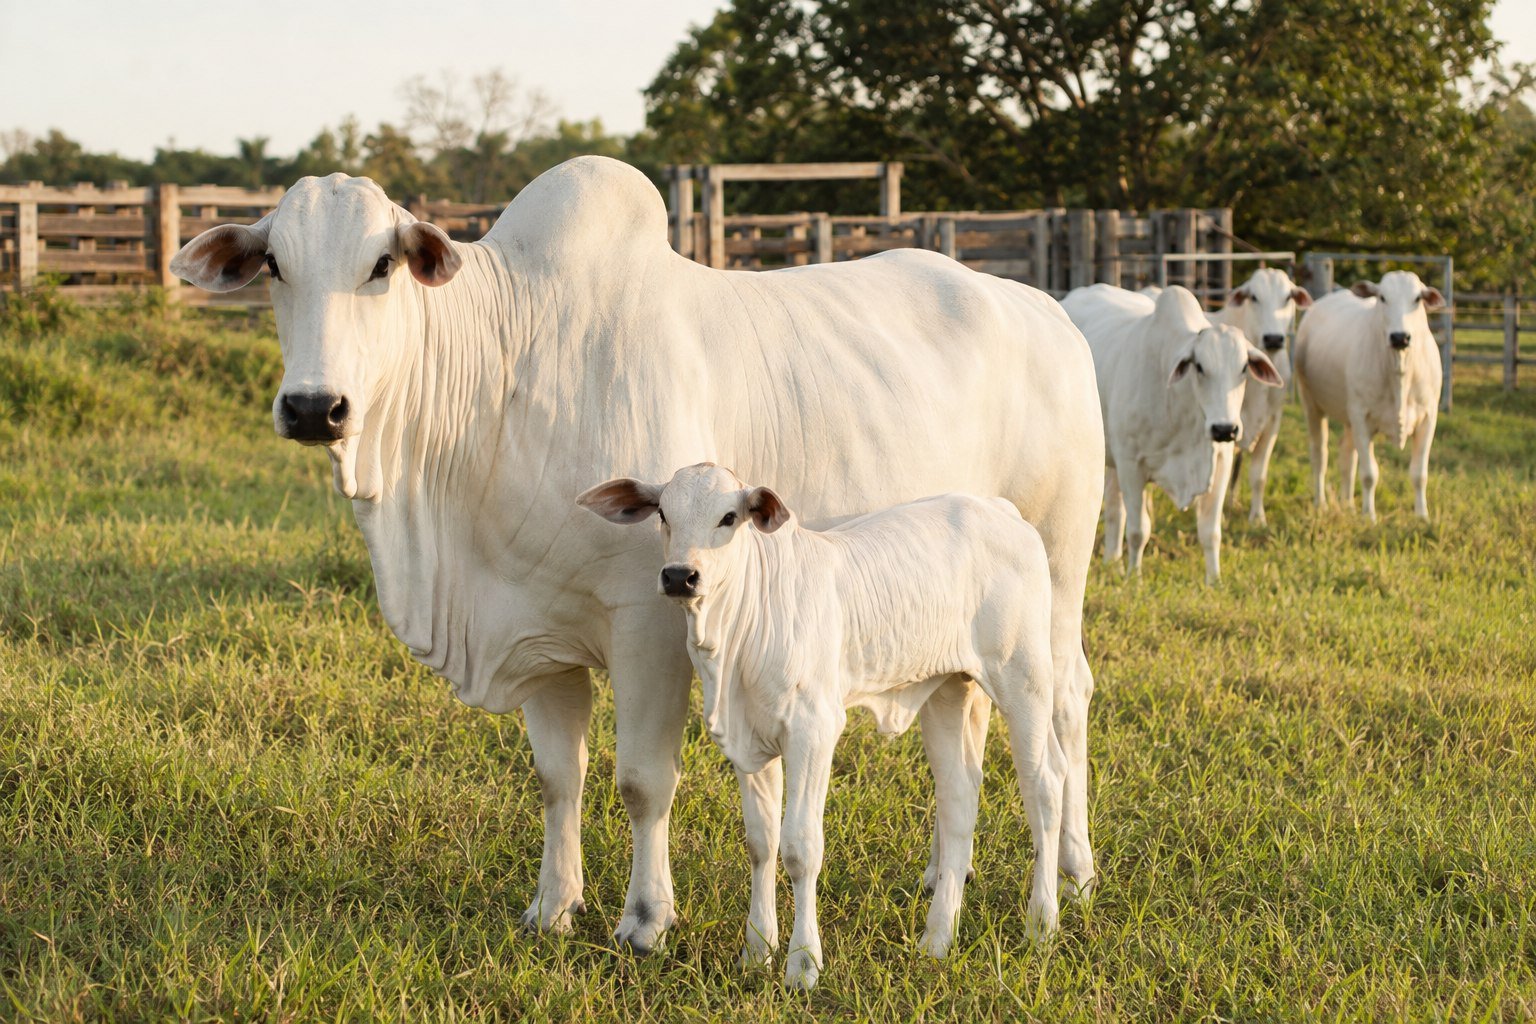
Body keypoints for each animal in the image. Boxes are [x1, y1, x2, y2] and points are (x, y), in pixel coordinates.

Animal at [577, 464, 1063, 990]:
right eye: (664, 514)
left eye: (729, 517)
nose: (679, 576)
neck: (739, 632)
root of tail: (1000, 510)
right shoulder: (749, 742)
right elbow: (761, 842)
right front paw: (757, 950)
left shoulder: (813, 732)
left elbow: (800, 848)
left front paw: (803, 963)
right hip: (949, 689)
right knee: (960, 796)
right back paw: (937, 939)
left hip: (1025, 676)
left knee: (1044, 784)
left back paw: (1041, 923)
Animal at [1061, 284, 1282, 583]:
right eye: (1199, 366)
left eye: (1245, 367)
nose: (1224, 428)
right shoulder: (1132, 465)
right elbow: (1138, 530)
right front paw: (1135, 577)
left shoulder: (1221, 462)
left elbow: (1210, 532)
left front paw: (1214, 581)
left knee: (1115, 509)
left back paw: (1112, 561)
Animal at [1207, 269, 1312, 525]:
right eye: (1253, 297)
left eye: (1288, 297)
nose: (1273, 338)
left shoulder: (1272, 422)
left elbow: (1258, 475)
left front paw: (1257, 517)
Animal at [1293, 271, 1444, 521]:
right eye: (1382, 297)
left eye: (1417, 298)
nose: (1400, 337)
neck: (1399, 370)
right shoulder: (1361, 418)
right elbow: (1369, 474)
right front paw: (1369, 516)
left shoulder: (1428, 418)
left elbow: (1419, 474)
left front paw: (1422, 516)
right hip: (1312, 404)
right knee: (1320, 454)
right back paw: (1321, 503)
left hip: (1348, 419)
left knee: (1347, 456)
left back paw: (1347, 505)